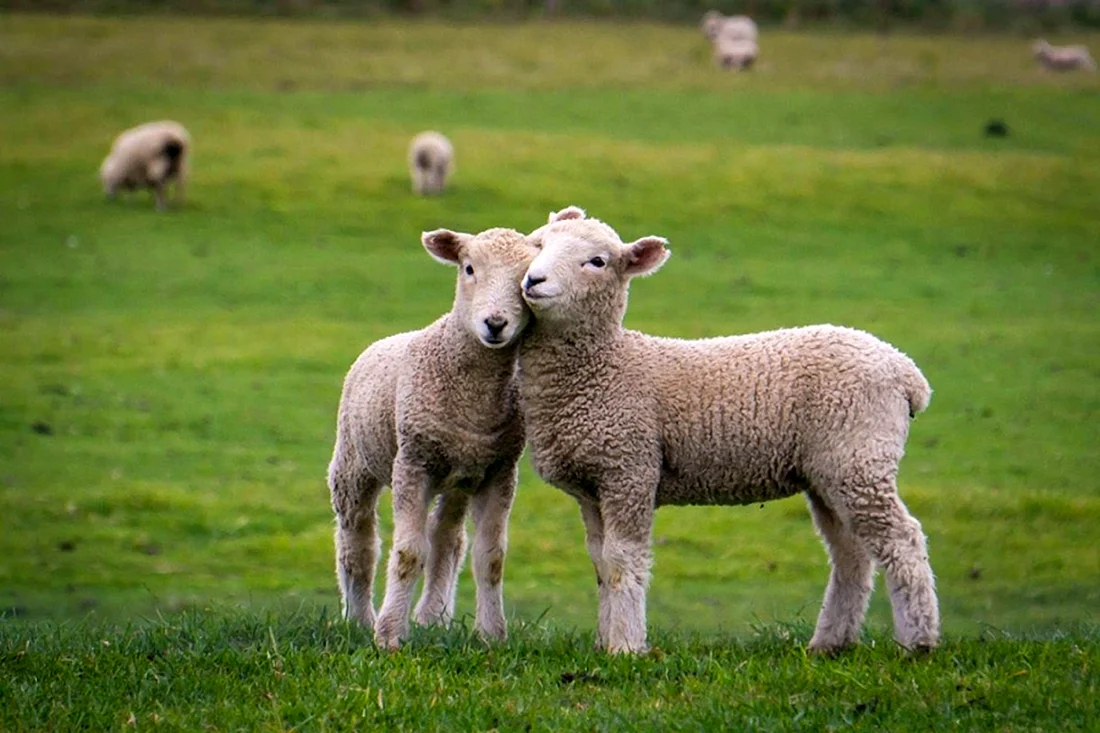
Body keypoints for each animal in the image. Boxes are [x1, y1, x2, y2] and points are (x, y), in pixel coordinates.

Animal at [327, 226, 535, 650]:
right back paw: (358, 618)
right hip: (353, 464)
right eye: (468, 268)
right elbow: (407, 553)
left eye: (526, 278)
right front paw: (389, 636)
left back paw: (432, 618)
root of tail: (388, 338)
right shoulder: (413, 463)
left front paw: (492, 635)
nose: (495, 323)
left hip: (458, 479)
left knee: (447, 540)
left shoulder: (500, 470)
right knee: (358, 541)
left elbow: (491, 557)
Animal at [517, 207, 939, 655]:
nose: (533, 281)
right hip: (831, 470)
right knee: (850, 553)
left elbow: (621, 561)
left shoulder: (629, 470)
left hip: (858, 454)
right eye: (539, 244)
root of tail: (905, 371)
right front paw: (604, 642)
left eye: (597, 262)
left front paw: (626, 647)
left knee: (902, 540)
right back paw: (829, 643)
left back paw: (918, 641)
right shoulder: (593, 486)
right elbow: (599, 562)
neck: (608, 366)